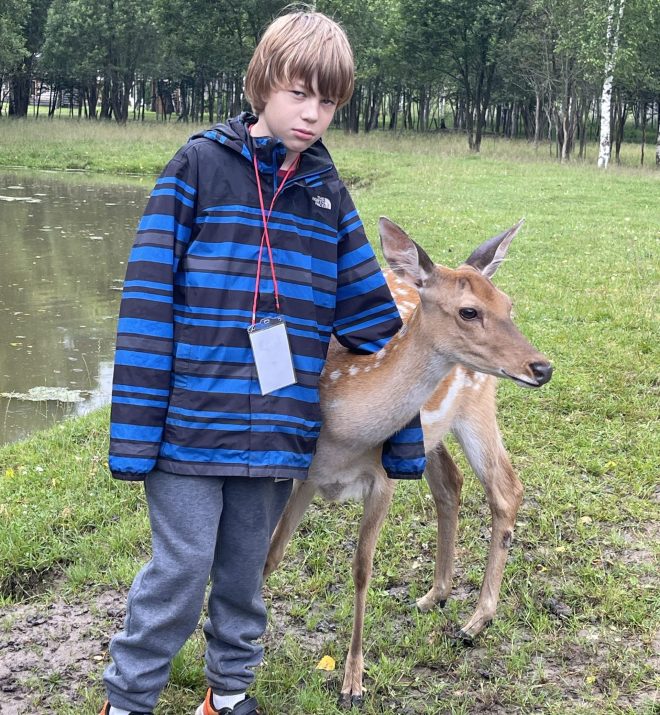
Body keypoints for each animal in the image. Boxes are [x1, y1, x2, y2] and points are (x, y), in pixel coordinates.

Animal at [264, 217, 553, 706]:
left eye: (509, 305)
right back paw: (435, 595)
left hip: (477, 406)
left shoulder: (384, 478)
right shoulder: (304, 475)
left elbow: (362, 569)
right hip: (430, 436)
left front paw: (353, 682)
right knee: (452, 484)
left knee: (506, 488)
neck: (342, 431)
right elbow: (272, 553)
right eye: (469, 311)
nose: (542, 367)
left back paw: (477, 618)